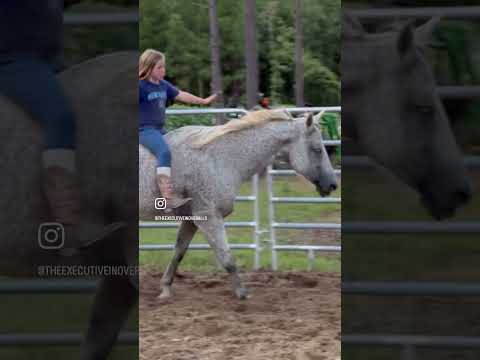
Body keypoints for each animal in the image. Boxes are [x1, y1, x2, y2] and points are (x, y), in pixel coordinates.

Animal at [139, 111, 338, 300]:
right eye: (317, 149)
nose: (332, 184)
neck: (217, 159)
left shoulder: (191, 220)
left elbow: (179, 252)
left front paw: (165, 289)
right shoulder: (209, 218)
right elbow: (227, 257)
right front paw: (242, 294)